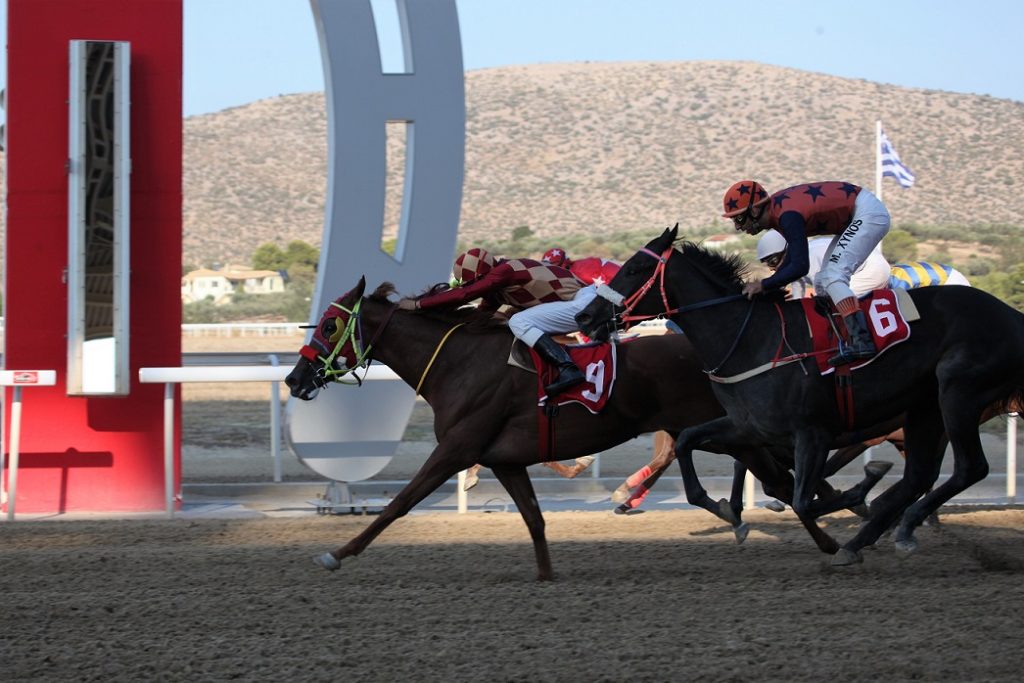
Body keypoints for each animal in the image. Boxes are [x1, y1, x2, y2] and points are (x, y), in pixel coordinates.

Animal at [286, 274, 864, 581]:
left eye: (332, 324)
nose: (294, 378)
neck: (457, 362)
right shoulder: (505, 459)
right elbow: (535, 519)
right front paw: (546, 574)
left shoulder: (457, 447)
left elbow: (399, 504)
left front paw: (337, 554)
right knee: (779, 478)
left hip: (719, 427)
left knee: (780, 478)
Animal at [577, 227, 1024, 565]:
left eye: (634, 268)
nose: (585, 316)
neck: (750, 338)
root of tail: (1012, 315)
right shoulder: (749, 426)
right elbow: (690, 444)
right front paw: (725, 508)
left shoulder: (812, 433)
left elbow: (801, 498)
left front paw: (855, 494)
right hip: (924, 407)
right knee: (920, 473)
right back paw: (880, 532)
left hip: (958, 392)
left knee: (970, 468)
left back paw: (899, 520)